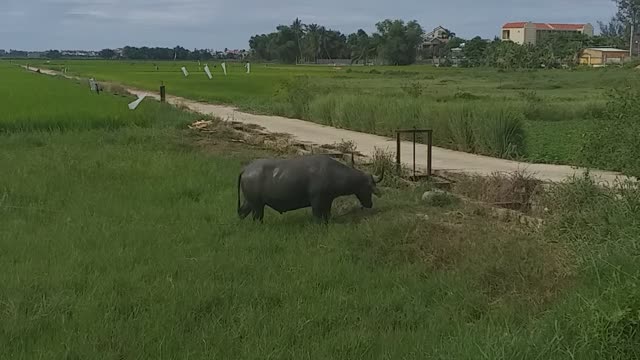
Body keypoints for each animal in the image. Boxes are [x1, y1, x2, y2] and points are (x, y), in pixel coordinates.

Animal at [236, 154, 382, 224]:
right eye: (368, 188)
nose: (370, 204)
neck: (331, 172)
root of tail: (246, 169)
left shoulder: (327, 202)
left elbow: (327, 216)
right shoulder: (316, 202)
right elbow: (317, 217)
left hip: (250, 202)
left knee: (242, 213)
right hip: (257, 205)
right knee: (256, 218)